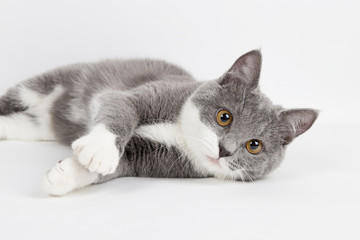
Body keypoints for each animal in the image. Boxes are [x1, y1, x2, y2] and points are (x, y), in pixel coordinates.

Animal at [0, 50, 318, 195]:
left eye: (254, 146)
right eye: (224, 116)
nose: (224, 150)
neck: (182, 134)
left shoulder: (153, 160)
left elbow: (120, 164)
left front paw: (64, 176)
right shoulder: (150, 93)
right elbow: (121, 108)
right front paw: (100, 149)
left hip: (38, 127)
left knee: (23, 125)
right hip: (47, 83)